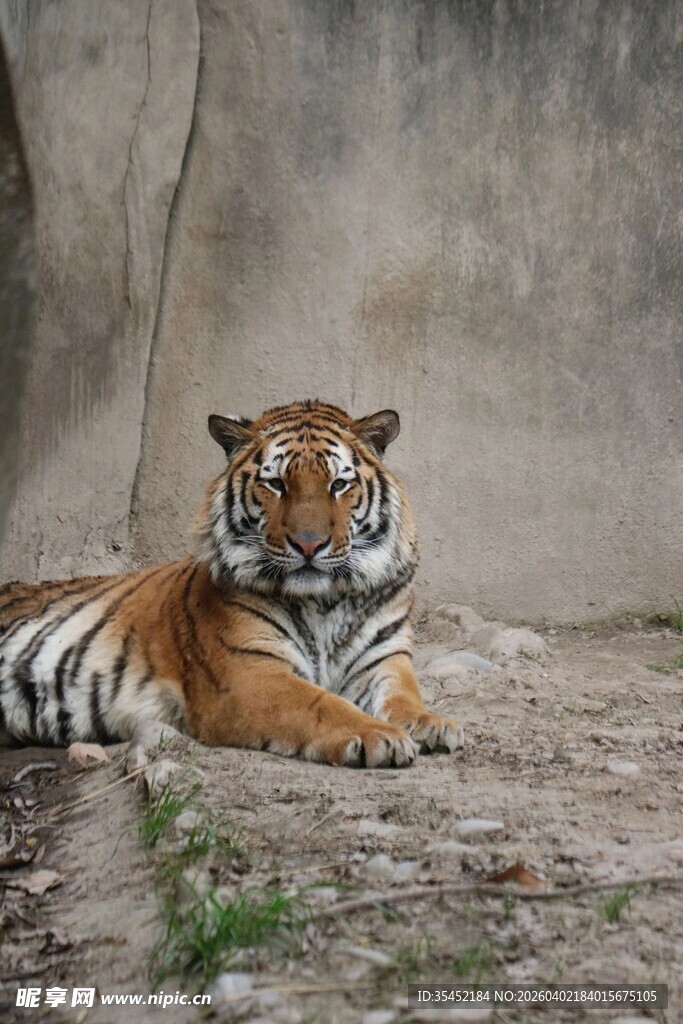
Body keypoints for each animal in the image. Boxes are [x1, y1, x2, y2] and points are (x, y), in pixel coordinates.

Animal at [0, 400, 463, 767]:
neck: (325, 600)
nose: (309, 544)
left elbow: (403, 696)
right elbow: (321, 704)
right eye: (276, 484)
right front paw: (380, 736)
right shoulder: (249, 673)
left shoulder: (384, 657)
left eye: (338, 484)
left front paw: (433, 724)